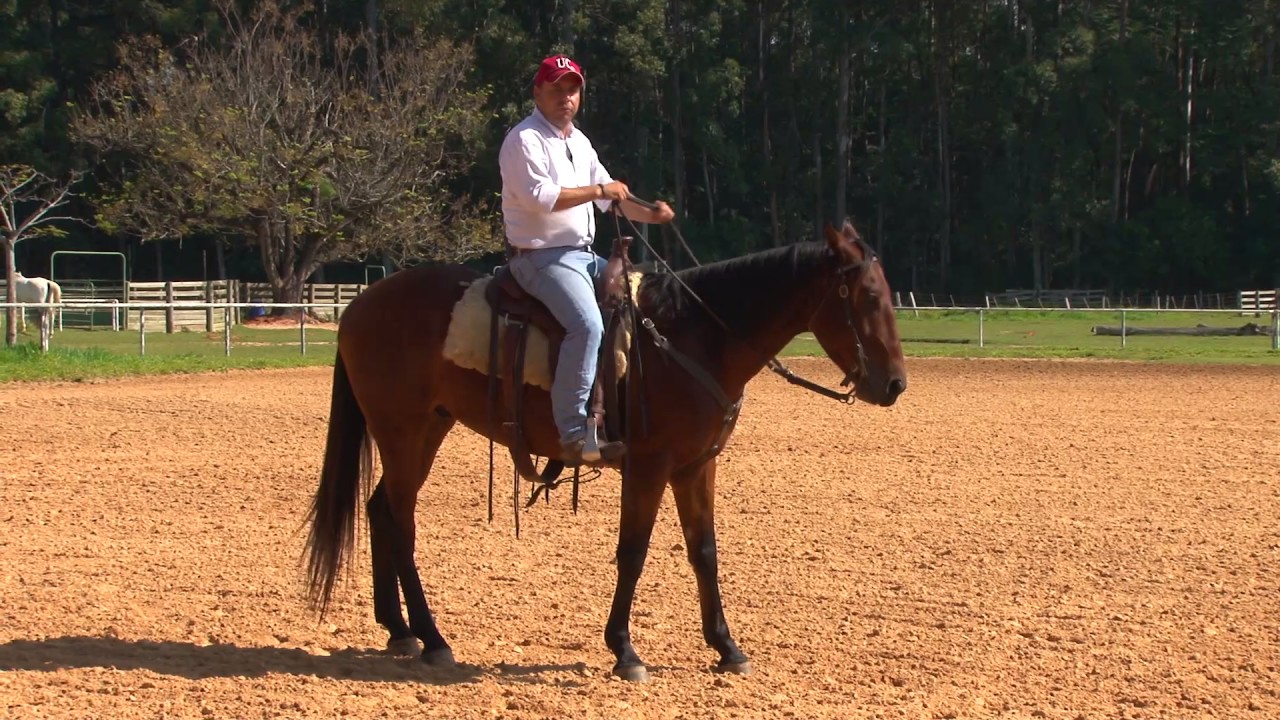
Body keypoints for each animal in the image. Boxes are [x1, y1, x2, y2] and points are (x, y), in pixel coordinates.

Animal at [304, 220, 908, 681]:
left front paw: (727, 648)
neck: (691, 338)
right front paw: (624, 650)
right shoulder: (648, 468)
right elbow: (633, 553)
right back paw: (432, 638)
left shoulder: (696, 467)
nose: (895, 385)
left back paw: (399, 630)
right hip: (404, 433)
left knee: (380, 511)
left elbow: (704, 552)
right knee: (400, 521)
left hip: (425, 429)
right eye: (870, 297)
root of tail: (359, 306)